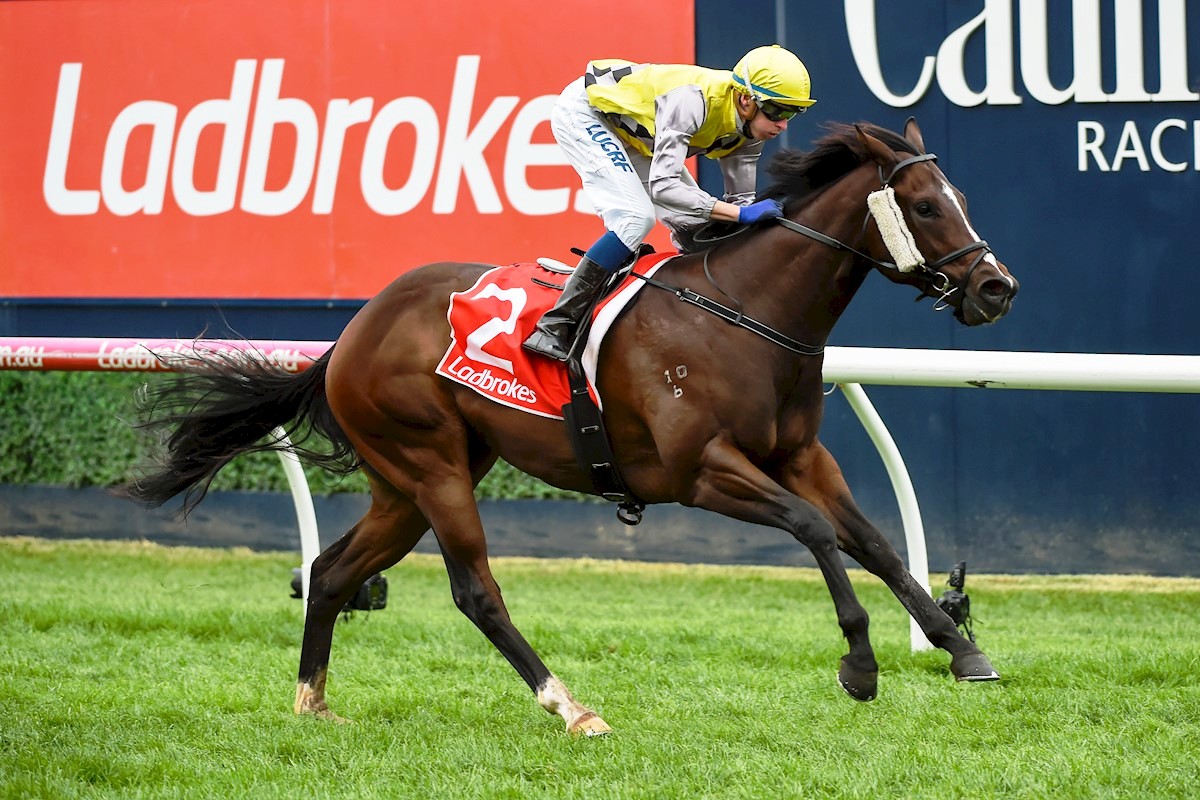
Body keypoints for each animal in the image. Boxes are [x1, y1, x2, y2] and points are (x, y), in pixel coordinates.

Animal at [119, 120, 1022, 738]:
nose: (996, 288)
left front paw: (960, 649)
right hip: (431, 465)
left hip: (405, 485)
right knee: (475, 591)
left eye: (961, 201)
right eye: (925, 204)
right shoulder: (700, 471)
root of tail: (352, 331)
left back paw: (313, 701)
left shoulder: (800, 454)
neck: (748, 314)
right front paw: (860, 665)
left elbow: (874, 543)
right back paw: (571, 706)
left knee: (334, 570)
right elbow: (815, 532)